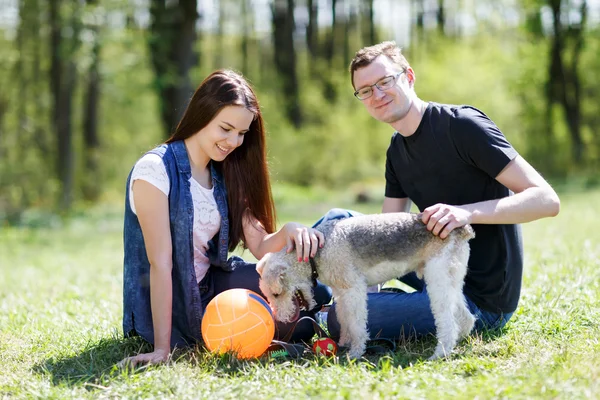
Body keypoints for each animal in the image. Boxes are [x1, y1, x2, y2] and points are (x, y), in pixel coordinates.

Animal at [258, 212, 478, 360]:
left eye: (276, 294)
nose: (281, 319)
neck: (319, 250)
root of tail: (462, 229)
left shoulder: (354, 289)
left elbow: (356, 324)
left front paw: (355, 352)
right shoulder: (342, 292)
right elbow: (344, 319)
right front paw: (344, 343)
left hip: (438, 279)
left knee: (448, 322)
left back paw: (440, 353)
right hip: (450, 280)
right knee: (465, 316)